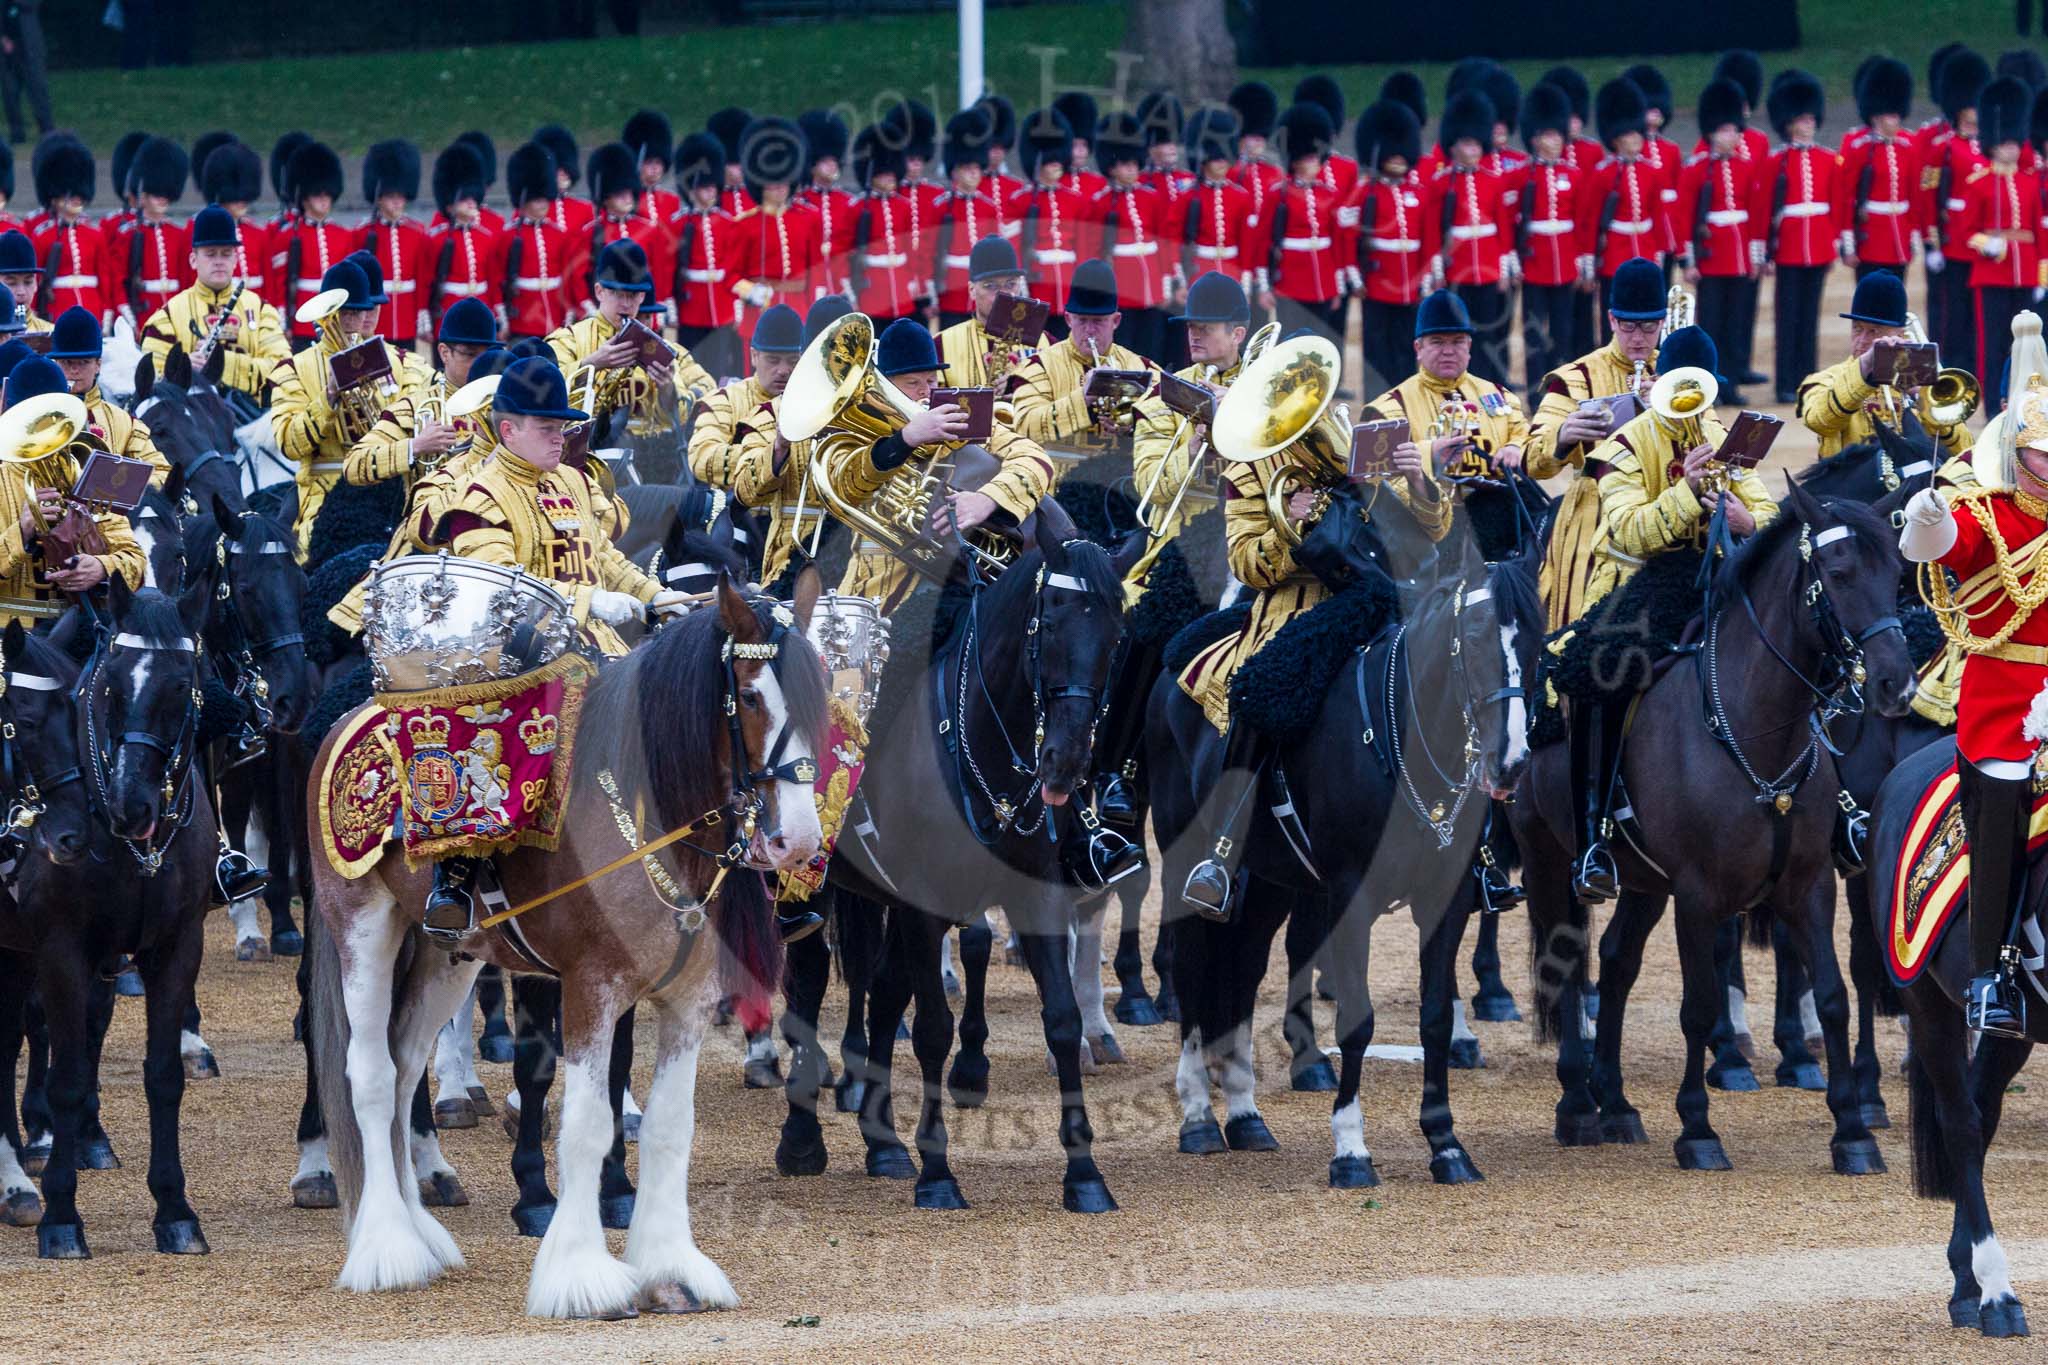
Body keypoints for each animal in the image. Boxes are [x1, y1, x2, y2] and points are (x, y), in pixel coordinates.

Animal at [1507, 482, 1916, 1178]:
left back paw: (1616, 1103)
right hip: (1545, 859)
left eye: (1894, 575)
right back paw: (1578, 1106)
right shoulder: (1698, 896)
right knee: (1567, 967)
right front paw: (1697, 1127)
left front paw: (1853, 1132)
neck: (1757, 729)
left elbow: (1832, 995)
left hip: (1644, 881)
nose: (1897, 683)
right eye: (1837, 575)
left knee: (1616, 963)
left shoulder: (1810, 886)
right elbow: (1698, 1006)